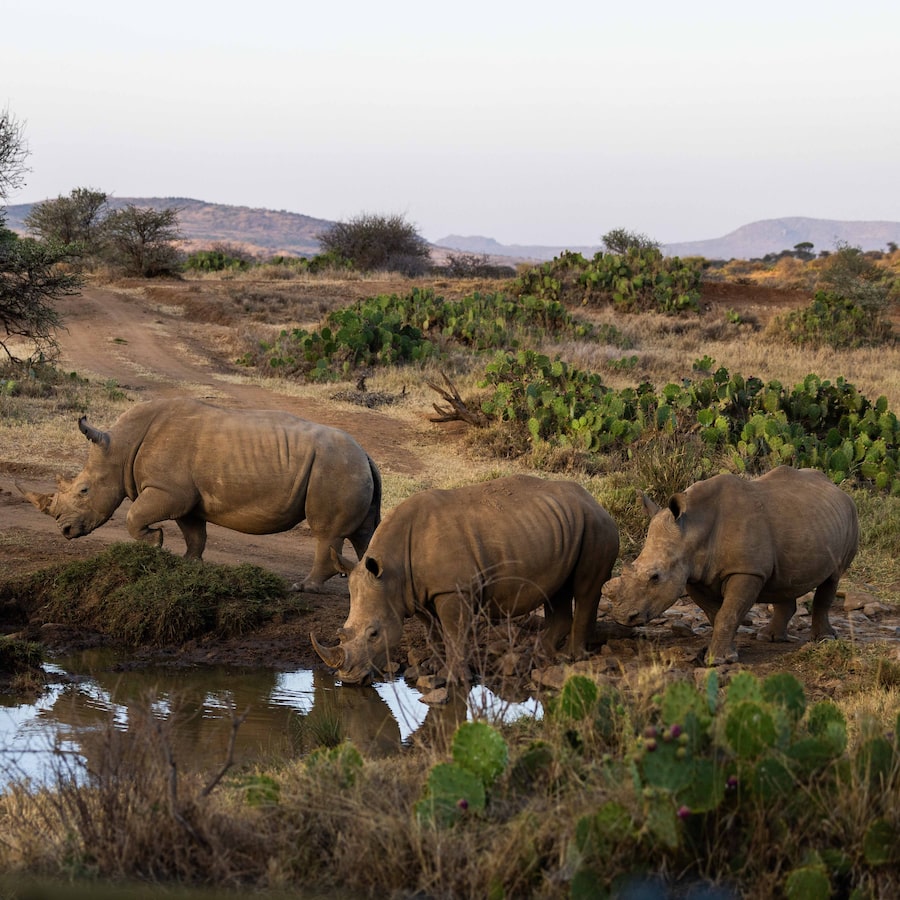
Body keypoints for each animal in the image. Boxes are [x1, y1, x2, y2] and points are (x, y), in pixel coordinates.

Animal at [19, 398, 382, 591]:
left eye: (84, 490)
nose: (64, 530)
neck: (119, 448)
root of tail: (366, 453)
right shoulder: (187, 498)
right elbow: (194, 533)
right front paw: (188, 564)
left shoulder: (169, 490)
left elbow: (135, 516)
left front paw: (155, 541)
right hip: (350, 468)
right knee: (365, 533)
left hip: (334, 468)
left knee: (326, 533)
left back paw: (303, 588)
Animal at [311, 474, 619, 684]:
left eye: (374, 634)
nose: (348, 678)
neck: (392, 573)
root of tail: (595, 502)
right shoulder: (416, 593)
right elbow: (434, 632)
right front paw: (432, 667)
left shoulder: (452, 590)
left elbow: (454, 632)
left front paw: (453, 678)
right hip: (563, 527)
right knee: (558, 590)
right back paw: (538, 654)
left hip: (596, 526)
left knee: (585, 589)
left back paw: (570, 658)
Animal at [604, 466, 859, 664]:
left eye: (655, 577)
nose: (622, 617)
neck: (692, 529)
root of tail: (837, 488)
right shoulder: (693, 574)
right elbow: (716, 614)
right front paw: (726, 654)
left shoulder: (747, 571)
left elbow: (729, 613)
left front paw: (716, 660)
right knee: (784, 580)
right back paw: (769, 638)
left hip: (850, 517)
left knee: (833, 578)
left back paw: (824, 639)